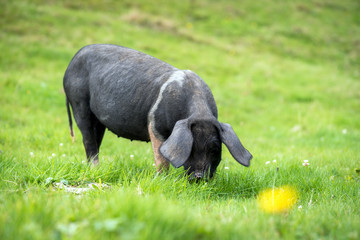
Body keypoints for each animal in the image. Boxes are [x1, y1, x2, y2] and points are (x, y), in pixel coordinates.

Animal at [62, 44, 253, 179]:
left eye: (215, 149)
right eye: (190, 148)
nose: (199, 177)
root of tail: (72, 60)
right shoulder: (154, 125)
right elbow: (161, 157)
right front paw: (162, 179)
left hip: (98, 119)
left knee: (95, 139)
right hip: (78, 101)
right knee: (87, 139)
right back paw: (95, 168)